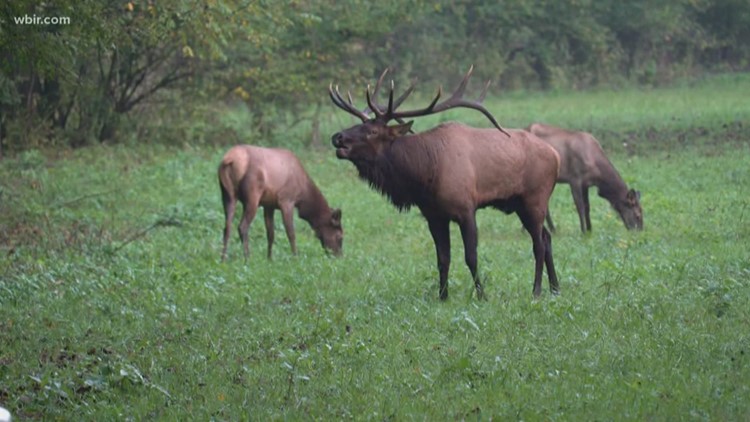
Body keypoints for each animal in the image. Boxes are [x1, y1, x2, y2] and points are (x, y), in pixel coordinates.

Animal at [329, 67, 560, 299]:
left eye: (373, 131)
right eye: (360, 124)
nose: (337, 137)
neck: (425, 174)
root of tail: (556, 155)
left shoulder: (466, 209)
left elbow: (471, 257)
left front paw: (482, 295)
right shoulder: (434, 216)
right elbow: (442, 258)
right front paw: (442, 296)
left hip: (535, 198)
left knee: (539, 244)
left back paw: (536, 290)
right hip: (521, 204)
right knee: (547, 237)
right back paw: (555, 288)